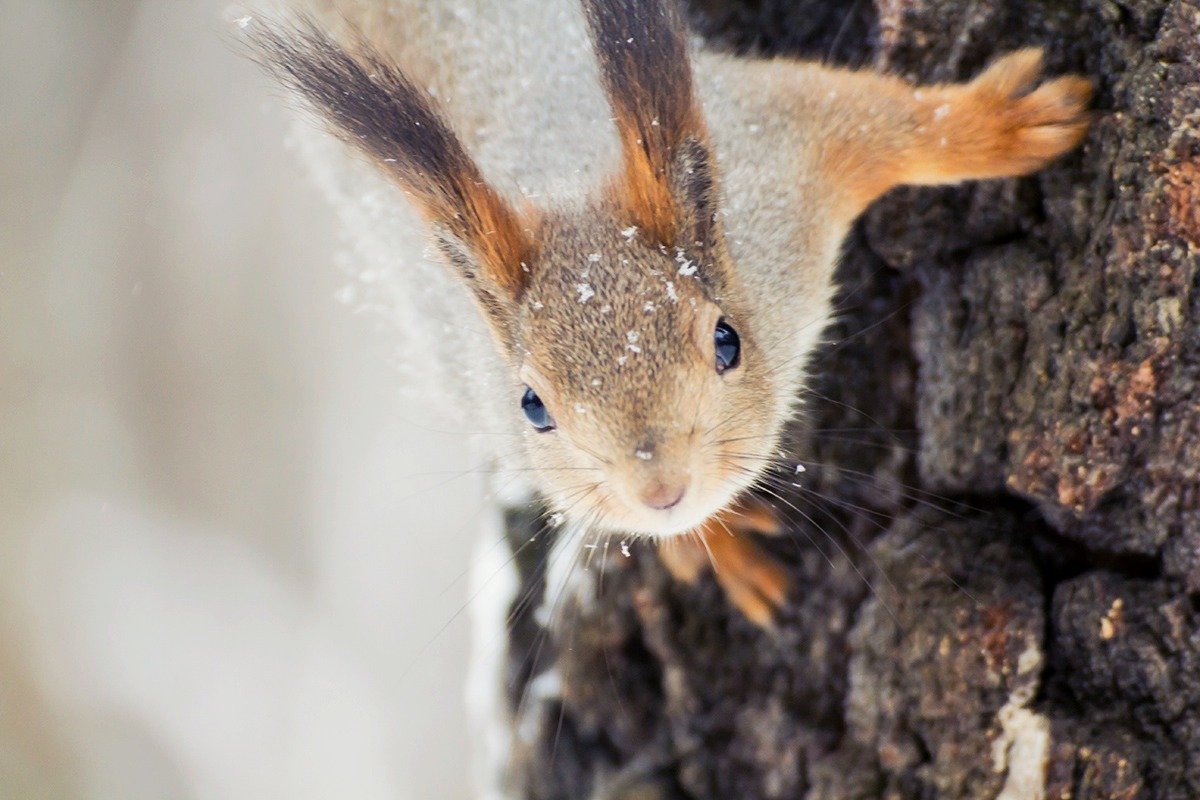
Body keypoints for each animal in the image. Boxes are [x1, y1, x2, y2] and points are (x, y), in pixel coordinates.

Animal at [248, 0, 1094, 623]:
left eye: (726, 341)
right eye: (531, 406)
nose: (661, 494)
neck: (562, 176)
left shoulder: (778, 150)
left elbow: (884, 123)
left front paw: (1003, 123)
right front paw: (712, 545)